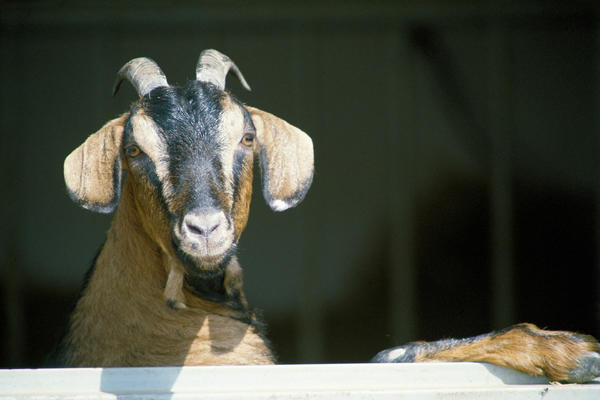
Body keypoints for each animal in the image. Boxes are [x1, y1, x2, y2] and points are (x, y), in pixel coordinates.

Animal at [59, 48, 600, 382]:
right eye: (133, 150)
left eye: (247, 138)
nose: (206, 229)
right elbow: (388, 356)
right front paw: (577, 352)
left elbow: (394, 353)